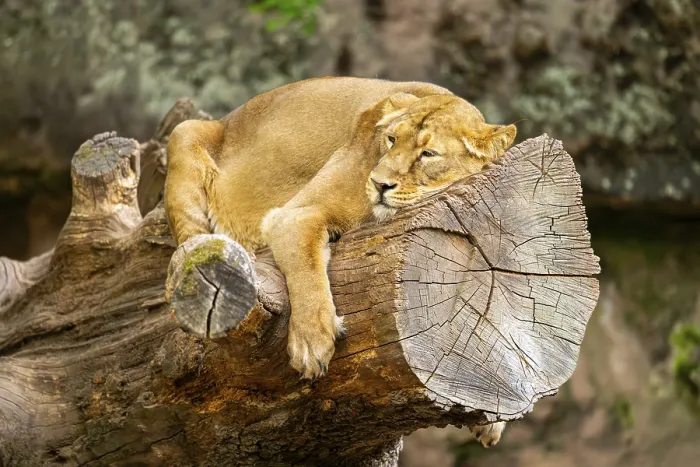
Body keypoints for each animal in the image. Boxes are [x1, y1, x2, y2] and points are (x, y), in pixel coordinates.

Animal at [164, 77, 516, 446]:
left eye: (428, 154)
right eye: (392, 140)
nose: (378, 183)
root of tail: (226, 118)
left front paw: (492, 419)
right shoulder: (292, 215)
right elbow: (307, 274)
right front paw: (312, 344)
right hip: (185, 134)